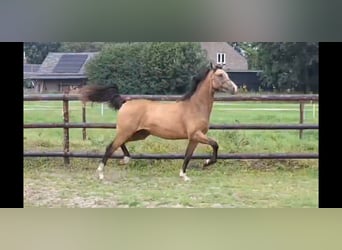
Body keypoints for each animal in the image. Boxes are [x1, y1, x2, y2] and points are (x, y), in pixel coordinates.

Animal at [79, 64, 236, 182]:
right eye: (220, 75)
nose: (234, 88)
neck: (195, 107)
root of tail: (125, 102)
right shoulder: (196, 134)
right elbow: (215, 144)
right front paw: (206, 163)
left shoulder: (194, 138)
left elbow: (188, 155)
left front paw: (184, 175)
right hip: (126, 131)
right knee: (110, 146)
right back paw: (101, 173)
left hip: (139, 134)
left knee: (119, 144)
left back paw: (126, 159)